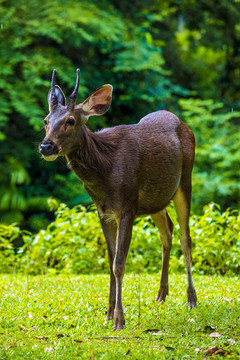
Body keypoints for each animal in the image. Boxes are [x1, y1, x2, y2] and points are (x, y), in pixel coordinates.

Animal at [39, 68, 197, 330]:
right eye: (46, 121)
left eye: (70, 121)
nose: (45, 146)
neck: (106, 170)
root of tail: (184, 125)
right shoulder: (104, 212)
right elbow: (110, 260)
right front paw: (108, 312)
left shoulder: (127, 207)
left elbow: (119, 264)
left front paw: (119, 319)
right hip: (156, 200)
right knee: (167, 232)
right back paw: (161, 294)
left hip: (185, 180)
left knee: (186, 237)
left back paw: (191, 298)